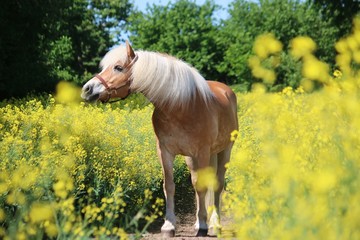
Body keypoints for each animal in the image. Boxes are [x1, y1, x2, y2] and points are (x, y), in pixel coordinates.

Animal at [81, 40, 239, 236]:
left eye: (118, 67)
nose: (87, 89)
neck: (182, 107)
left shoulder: (202, 151)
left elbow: (204, 186)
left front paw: (203, 226)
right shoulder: (164, 151)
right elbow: (169, 186)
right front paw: (169, 225)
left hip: (224, 150)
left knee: (217, 185)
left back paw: (214, 224)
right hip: (192, 158)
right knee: (196, 184)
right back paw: (197, 222)